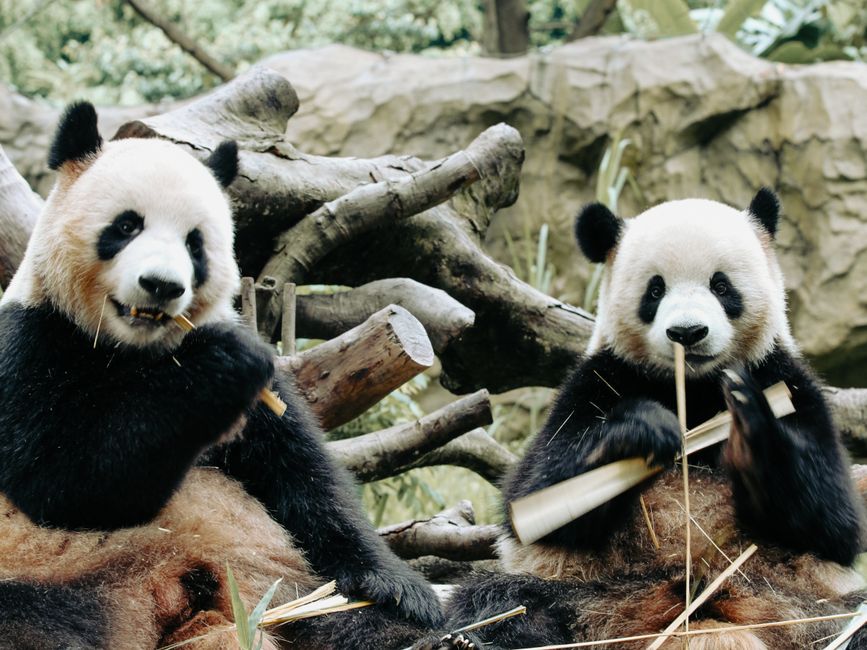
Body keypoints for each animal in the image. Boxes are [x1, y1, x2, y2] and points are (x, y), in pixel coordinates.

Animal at [0, 102, 445, 650]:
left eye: (195, 244)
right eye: (126, 226)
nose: (162, 286)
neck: (133, 351)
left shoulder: (263, 405)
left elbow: (304, 481)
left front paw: (400, 589)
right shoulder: (31, 342)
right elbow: (61, 483)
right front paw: (222, 364)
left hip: (275, 585)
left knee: (331, 616)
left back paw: (434, 637)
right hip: (49, 572)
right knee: (38, 620)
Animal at [435, 191, 867, 649]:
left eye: (721, 285)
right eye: (655, 289)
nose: (688, 333)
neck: (693, 389)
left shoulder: (785, 381)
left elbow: (835, 520)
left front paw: (752, 435)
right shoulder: (598, 381)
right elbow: (537, 493)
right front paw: (642, 431)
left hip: (800, 602)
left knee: (852, 616)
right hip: (585, 591)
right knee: (503, 601)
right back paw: (468, 638)